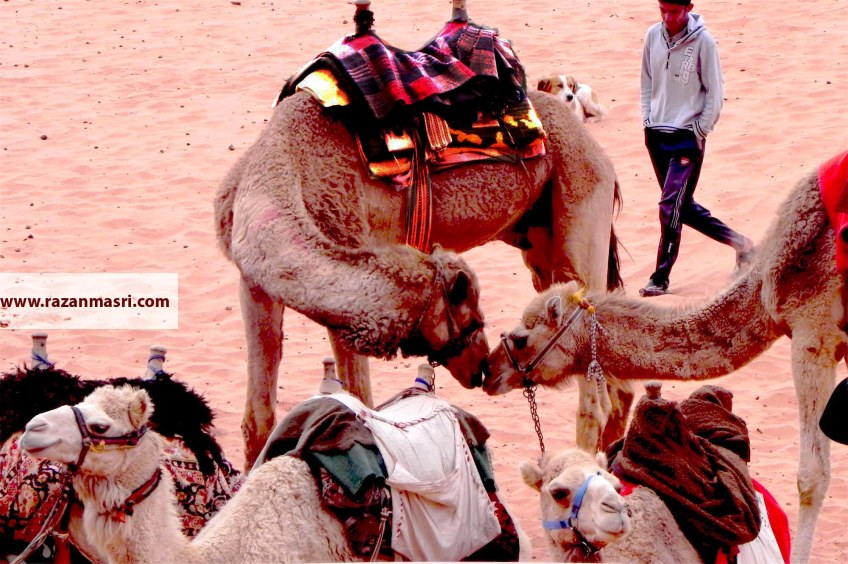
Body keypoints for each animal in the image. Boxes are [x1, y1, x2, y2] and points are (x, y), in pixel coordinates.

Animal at [214, 81, 624, 465]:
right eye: (468, 315)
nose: (481, 367)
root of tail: (596, 149)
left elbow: (361, 401)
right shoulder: (255, 285)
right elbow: (258, 420)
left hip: (579, 198)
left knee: (595, 395)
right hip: (538, 240)